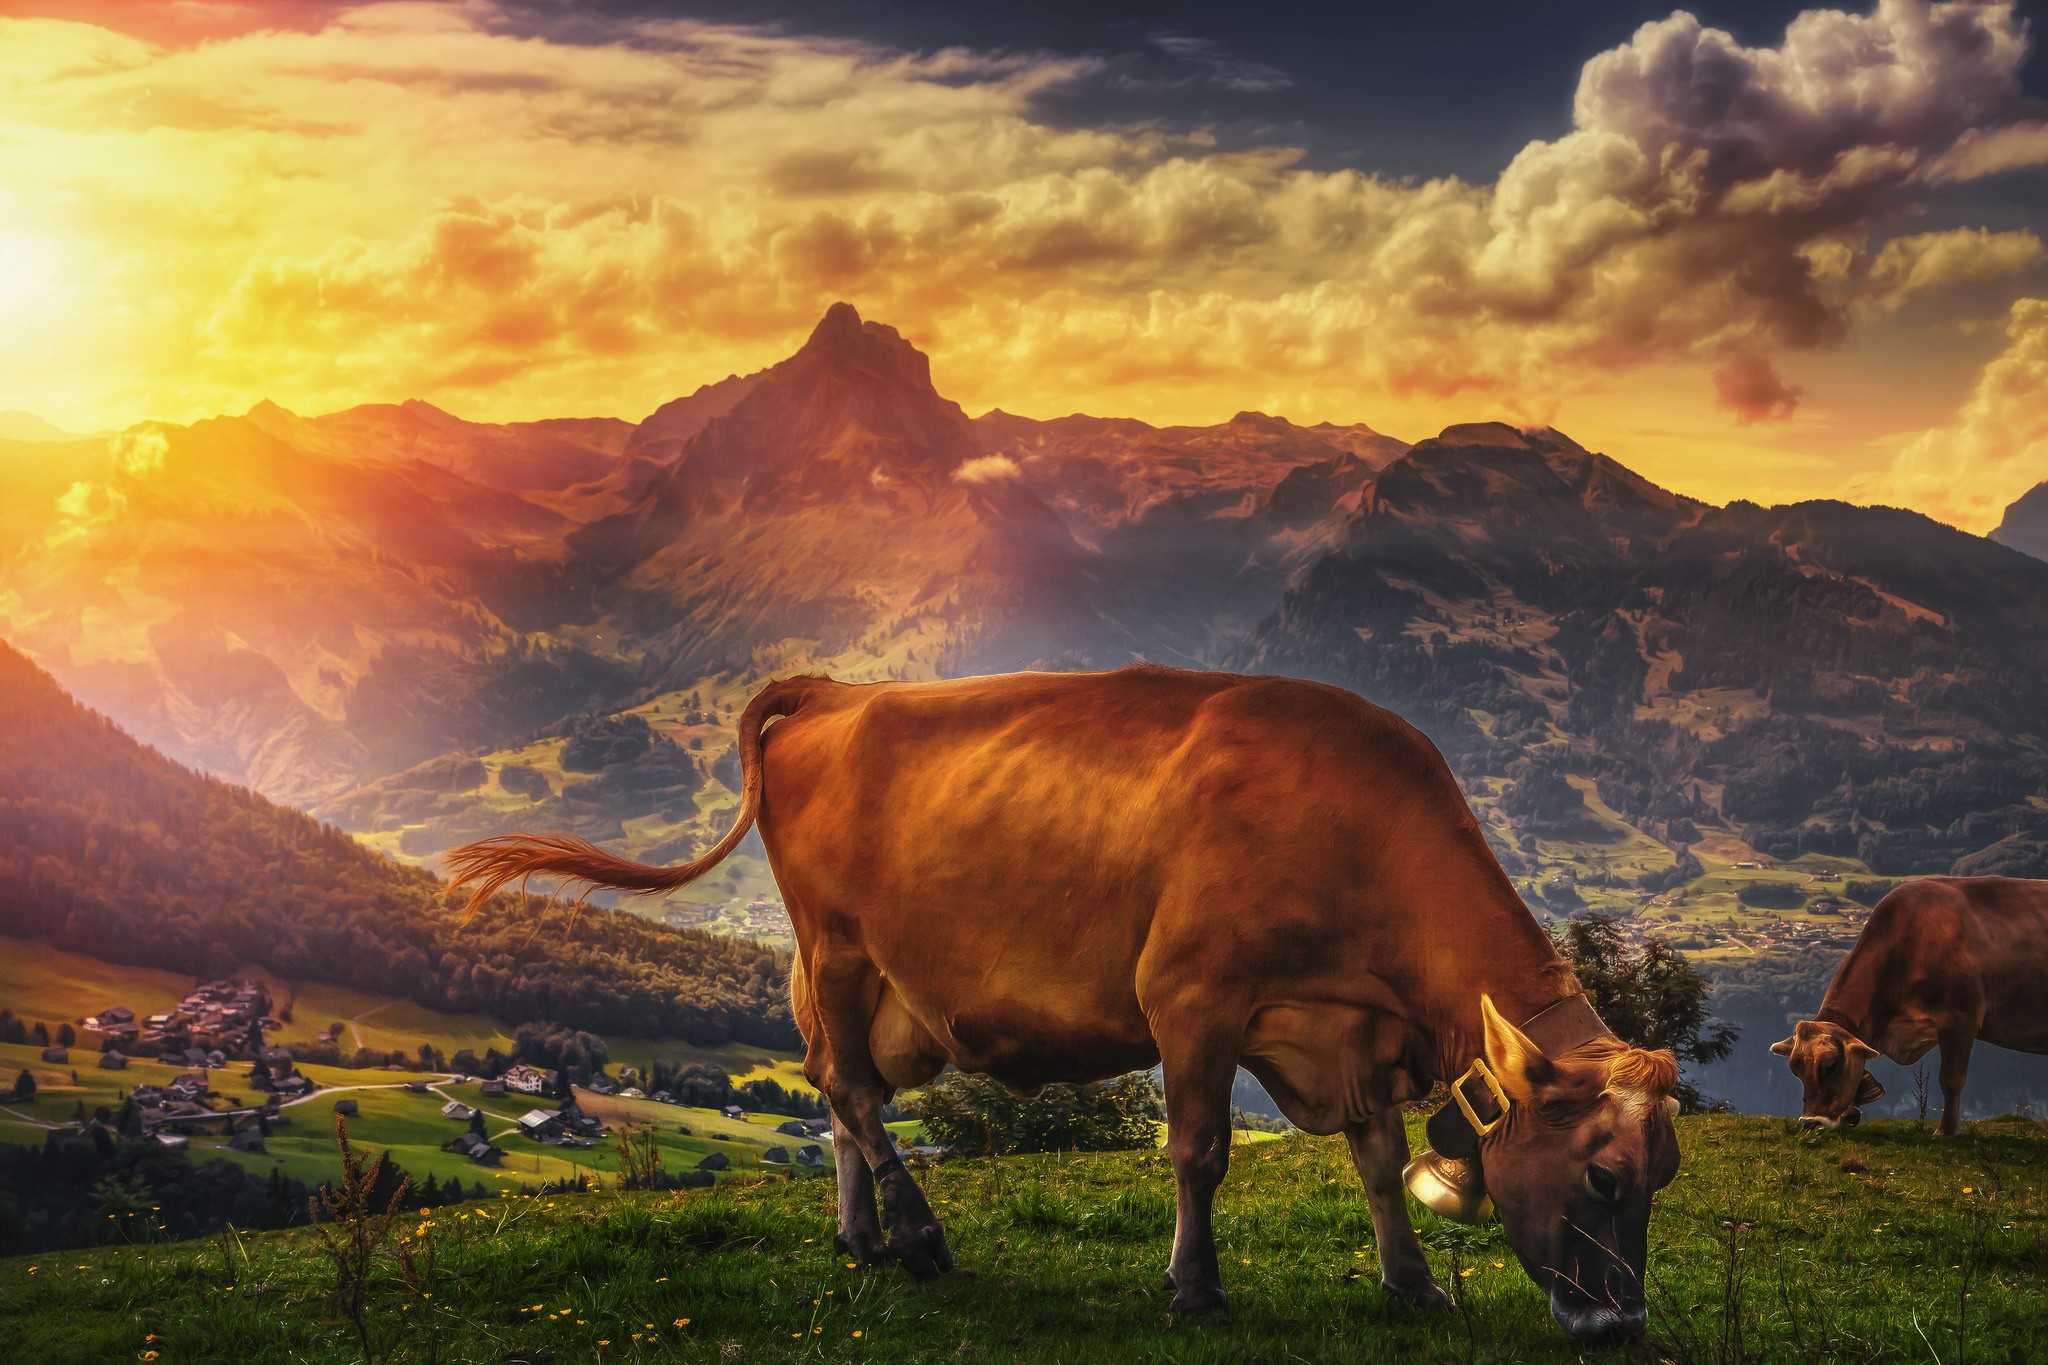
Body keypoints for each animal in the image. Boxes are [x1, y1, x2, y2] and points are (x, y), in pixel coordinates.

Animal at [452, 667, 1679, 1342]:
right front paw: (1193, 1287)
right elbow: (1199, 1151)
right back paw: (917, 1233)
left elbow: (1377, 1164)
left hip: (853, 976)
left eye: (1662, 1176)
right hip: (838, 947)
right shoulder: (1193, 998)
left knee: (835, 1093)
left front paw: (1413, 1284)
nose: (1619, 1324)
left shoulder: (1349, 1034)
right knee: (852, 1091)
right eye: (1601, 1176)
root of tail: (840, 692)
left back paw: (859, 1237)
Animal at [1769, 879, 2039, 1137]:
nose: (1811, 1122)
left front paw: (1946, 1131)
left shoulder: (1961, 1021)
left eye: (1831, 1066)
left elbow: (1951, 1080)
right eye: (1796, 1069)